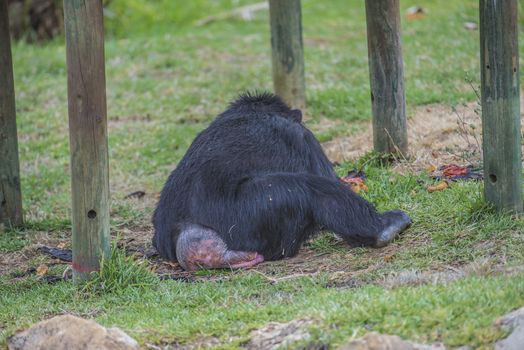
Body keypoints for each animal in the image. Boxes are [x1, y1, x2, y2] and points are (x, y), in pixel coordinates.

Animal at [154, 91, 412, 270]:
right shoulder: (301, 137)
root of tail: (190, 240)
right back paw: (385, 227)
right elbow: (326, 177)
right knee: (313, 189)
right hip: (256, 212)